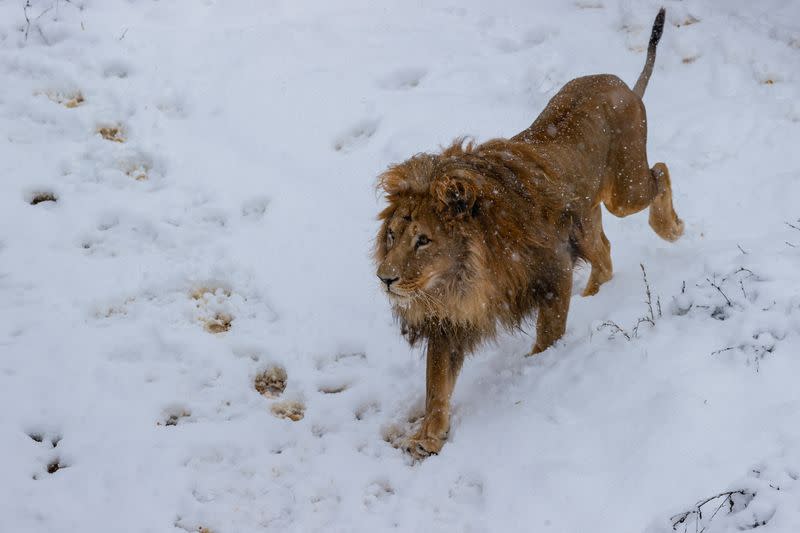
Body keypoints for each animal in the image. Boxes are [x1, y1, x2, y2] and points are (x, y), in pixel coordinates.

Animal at [376, 7, 680, 458]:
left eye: (423, 240)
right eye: (393, 236)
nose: (385, 278)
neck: (465, 274)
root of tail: (624, 85)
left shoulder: (551, 273)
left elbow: (547, 334)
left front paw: (537, 366)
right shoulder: (452, 317)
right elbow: (437, 385)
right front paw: (427, 437)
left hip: (625, 189)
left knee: (660, 172)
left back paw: (671, 228)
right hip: (586, 216)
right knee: (605, 250)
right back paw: (595, 295)